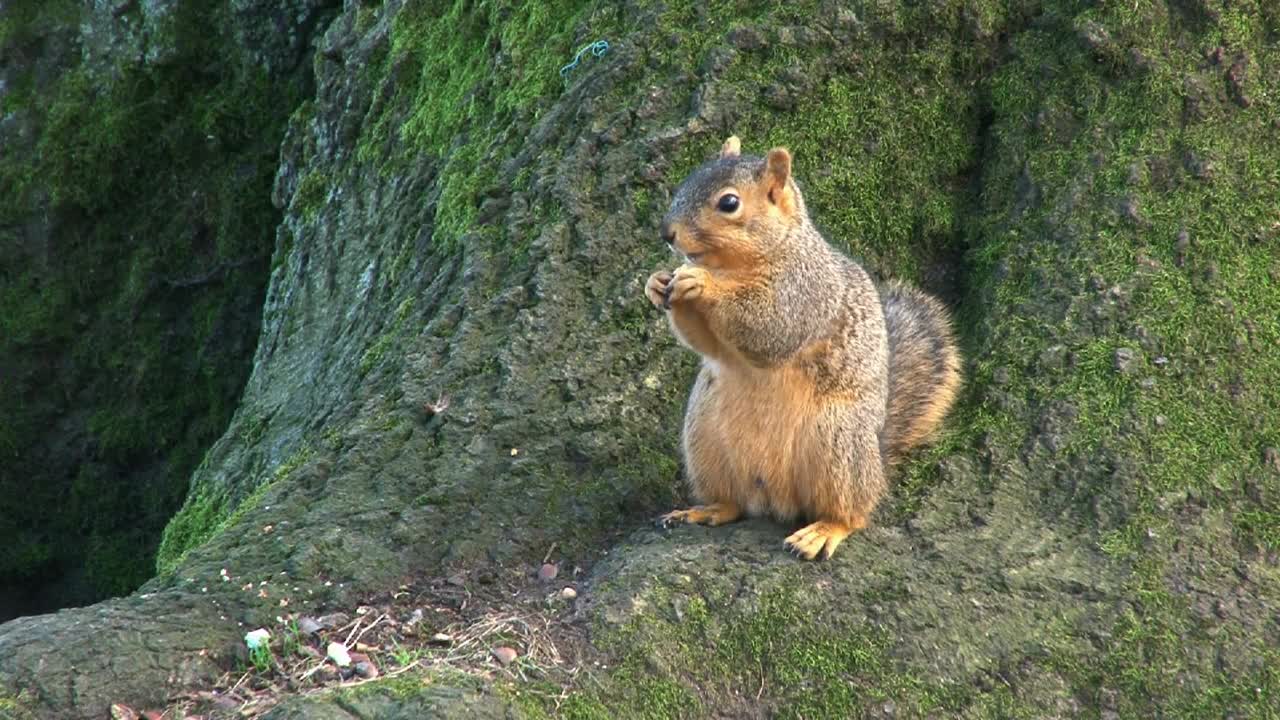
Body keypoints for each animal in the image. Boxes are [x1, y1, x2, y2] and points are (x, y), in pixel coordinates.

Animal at [650, 135, 962, 561]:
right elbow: (708, 344)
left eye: (729, 203)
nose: (668, 233)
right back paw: (705, 510)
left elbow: (769, 326)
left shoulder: (804, 293)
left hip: (836, 444)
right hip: (705, 438)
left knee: (853, 513)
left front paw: (701, 282)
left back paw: (824, 530)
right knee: (734, 503)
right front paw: (656, 283)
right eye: (687, 180)